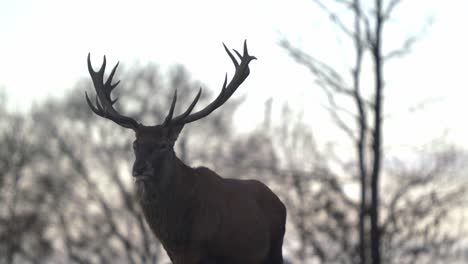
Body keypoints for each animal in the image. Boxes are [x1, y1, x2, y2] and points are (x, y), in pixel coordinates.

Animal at [85, 42, 288, 262]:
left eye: (163, 145)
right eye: (135, 143)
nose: (139, 168)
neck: (179, 237)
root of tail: (281, 203)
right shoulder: (176, 256)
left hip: (274, 249)